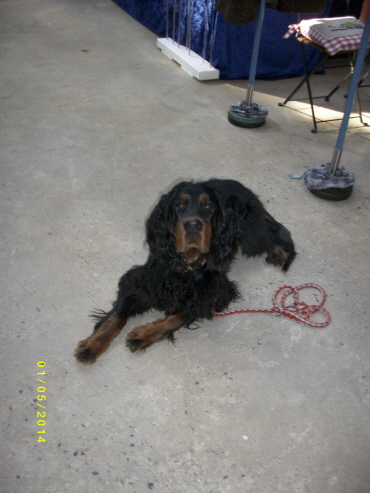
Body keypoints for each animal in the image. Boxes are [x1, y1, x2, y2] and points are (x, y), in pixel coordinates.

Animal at [74, 177, 294, 362]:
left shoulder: (214, 294)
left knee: (271, 230)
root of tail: (237, 183)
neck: (187, 265)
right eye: (179, 205)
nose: (193, 225)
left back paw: (278, 251)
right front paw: (92, 345)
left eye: (208, 206)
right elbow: (117, 316)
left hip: (248, 228)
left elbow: (179, 316)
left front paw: (143, 335)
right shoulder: (139, 280)